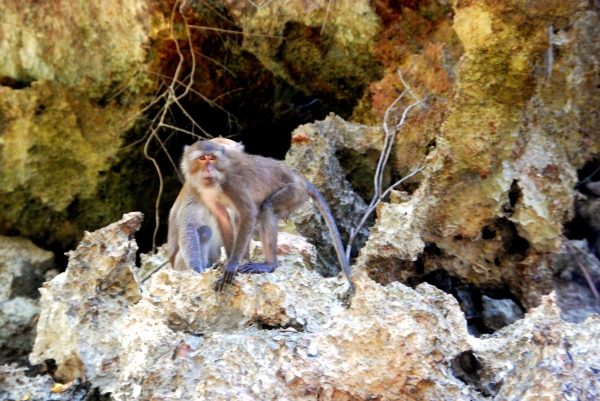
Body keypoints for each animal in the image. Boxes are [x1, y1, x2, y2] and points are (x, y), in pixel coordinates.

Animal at [164, 137, 244, 272]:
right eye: (202, 158)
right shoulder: (193, 191)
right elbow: (189, 227)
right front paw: (196, 268)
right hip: (179, 265)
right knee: (205, 232)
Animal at [186, 139, 356, 296]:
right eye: (202, 158)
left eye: (212, 158)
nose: (209, 169)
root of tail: (300, 180)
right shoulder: (200, 191)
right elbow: (223, 218)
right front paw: (228, 261)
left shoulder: (231, 182)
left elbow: (248, 212)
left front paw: (232, 264)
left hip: (293, 193)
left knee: (266, 208)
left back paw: (269, 264)